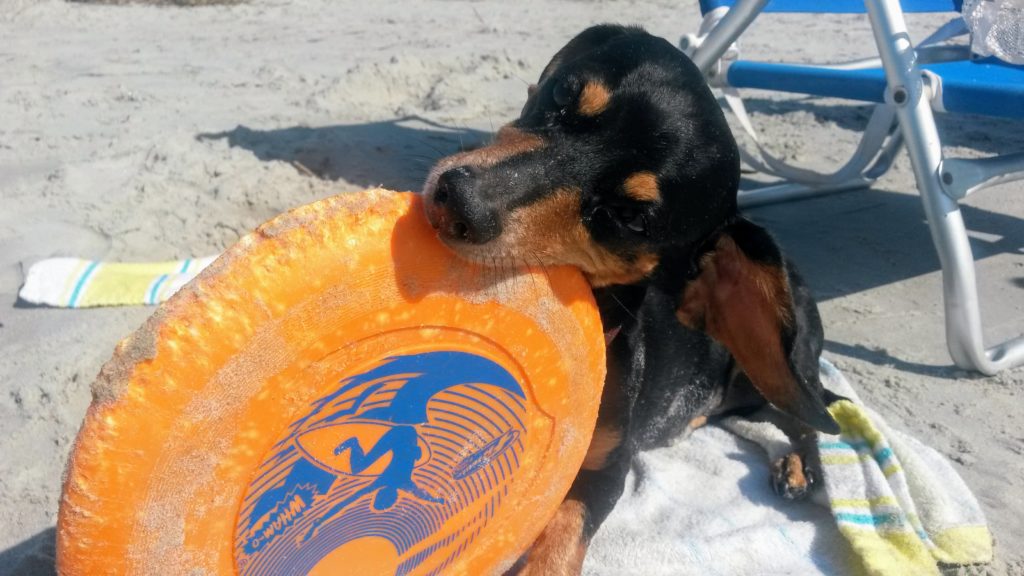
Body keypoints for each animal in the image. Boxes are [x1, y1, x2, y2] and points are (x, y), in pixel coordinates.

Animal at [417, 24, 839, 569]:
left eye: (630, 217)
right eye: (563, 93)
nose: (456, 201)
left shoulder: (604, 471)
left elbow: (560, 541)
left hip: (779, 372)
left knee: (813, 415)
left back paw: (799, 466)